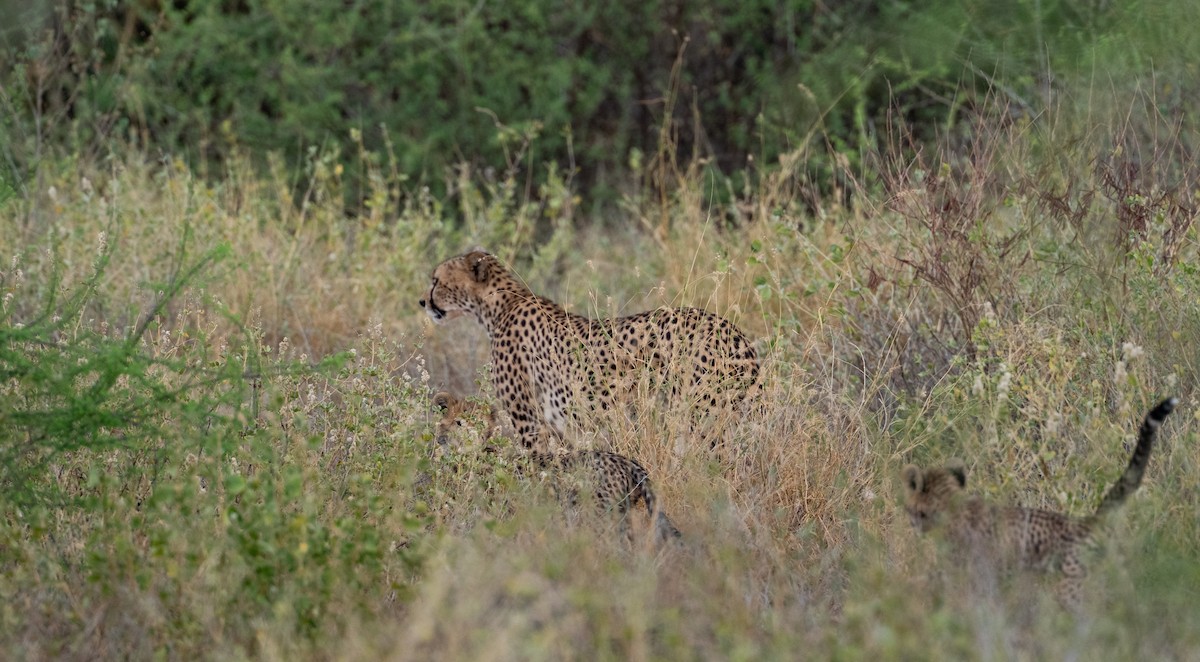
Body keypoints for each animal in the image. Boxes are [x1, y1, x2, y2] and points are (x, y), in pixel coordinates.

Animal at [419, 249, 759, 453]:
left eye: (436, 281)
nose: (423, 301)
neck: (500, 305)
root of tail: (735, 333)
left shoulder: (528, 420)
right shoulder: (558, 427)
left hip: (700, 418)